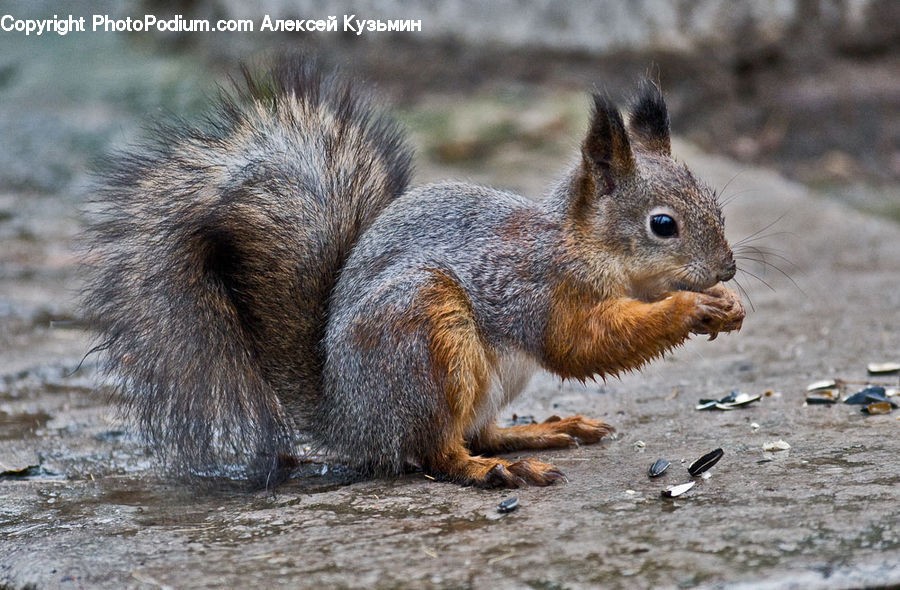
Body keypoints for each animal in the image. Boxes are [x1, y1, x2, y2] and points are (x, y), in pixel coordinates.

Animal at [83, 55, 745, 488]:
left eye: (715, 200)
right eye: (663, 225)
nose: (728, 267)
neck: (582, 244)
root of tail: (350, 422)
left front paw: (729, 306)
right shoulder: (534, 287)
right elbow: (582, 343)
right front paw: (692, 307)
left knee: (476, 431)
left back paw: (540, 430)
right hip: (424, 337)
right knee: (436, 453)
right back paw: (495, 469)